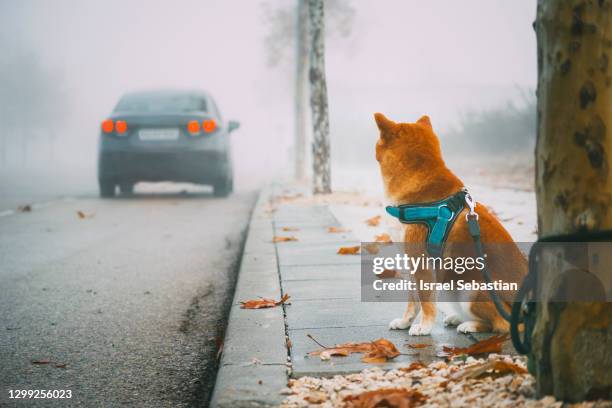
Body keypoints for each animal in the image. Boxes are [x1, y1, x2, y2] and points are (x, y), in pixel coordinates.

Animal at [372, 113, 524, 336]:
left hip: (470, 289)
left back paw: (469, 324)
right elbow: (412, 300)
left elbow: (426, 301)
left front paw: (425, 326)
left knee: (499, 324)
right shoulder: (410, 261)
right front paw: (405, 321)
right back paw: (457, 318)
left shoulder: (422, 262)